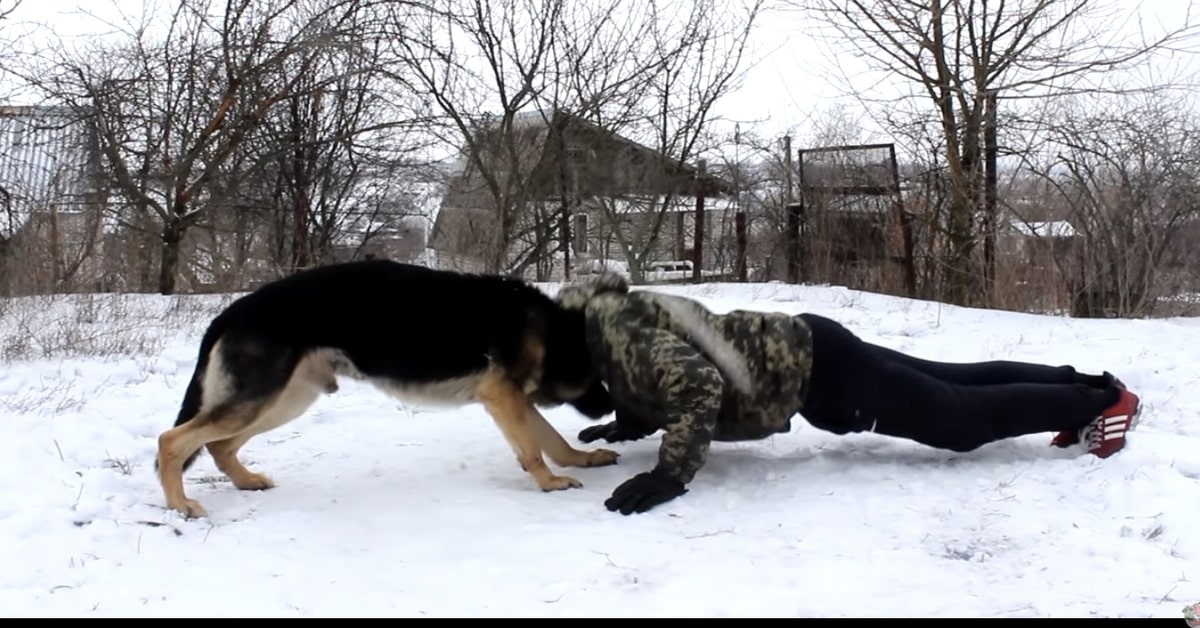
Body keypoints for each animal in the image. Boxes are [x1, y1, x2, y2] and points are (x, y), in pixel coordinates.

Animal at [154, 258, 619, 518]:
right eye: (596, 375)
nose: (610, 406)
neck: (554, 332)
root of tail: (231, 312)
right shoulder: (504, 396)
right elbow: (534, 448)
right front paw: (549, 482)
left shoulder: (515, 399)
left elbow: (553, 440)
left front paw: (582, 459)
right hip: (260, 399)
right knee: (172, 441)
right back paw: (181, 506)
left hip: (285, 400)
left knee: (219, 445)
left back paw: (246, 481)